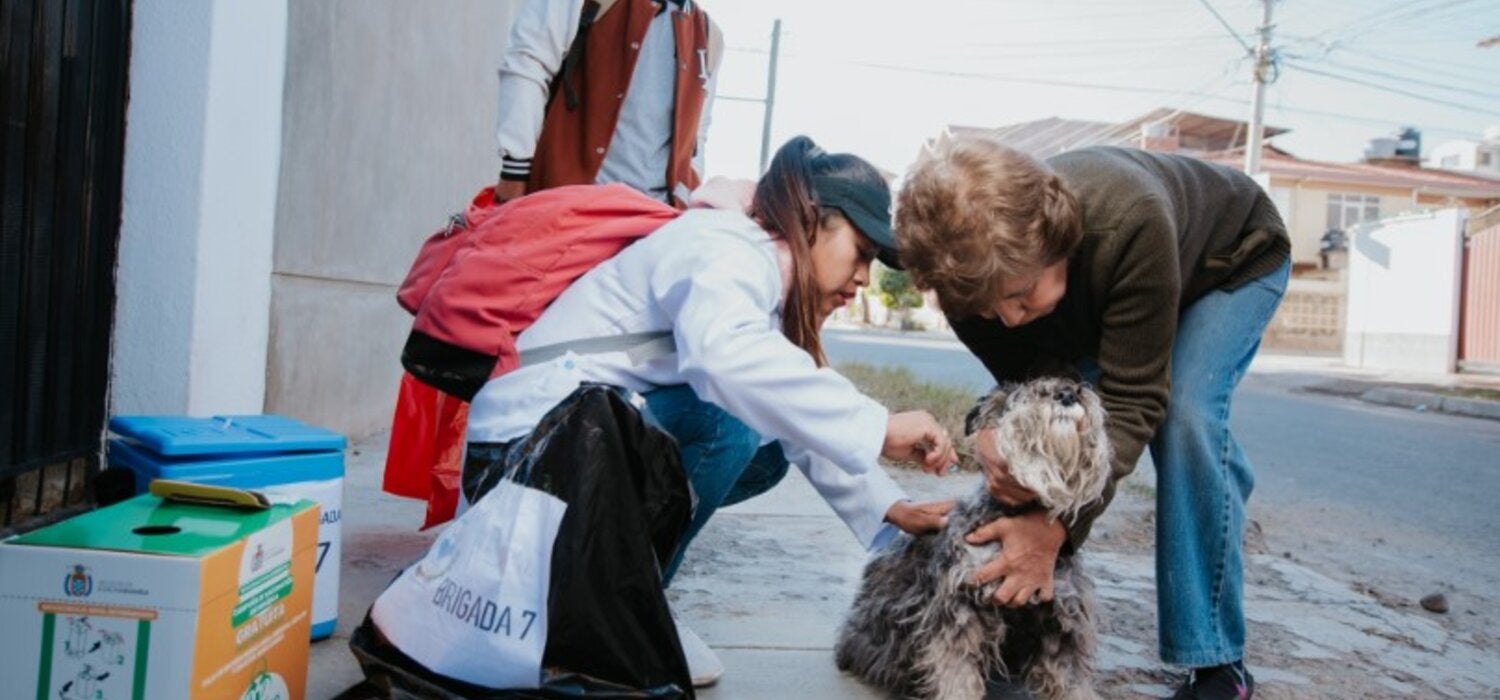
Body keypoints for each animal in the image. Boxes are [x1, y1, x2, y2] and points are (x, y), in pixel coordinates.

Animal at [840, 377, 1110, 700]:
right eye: (1023, 393)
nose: (1068, 393)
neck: (1016, 514)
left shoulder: (1063, 621)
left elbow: (1071, 682)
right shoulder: (962, 611)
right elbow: (957, 676)